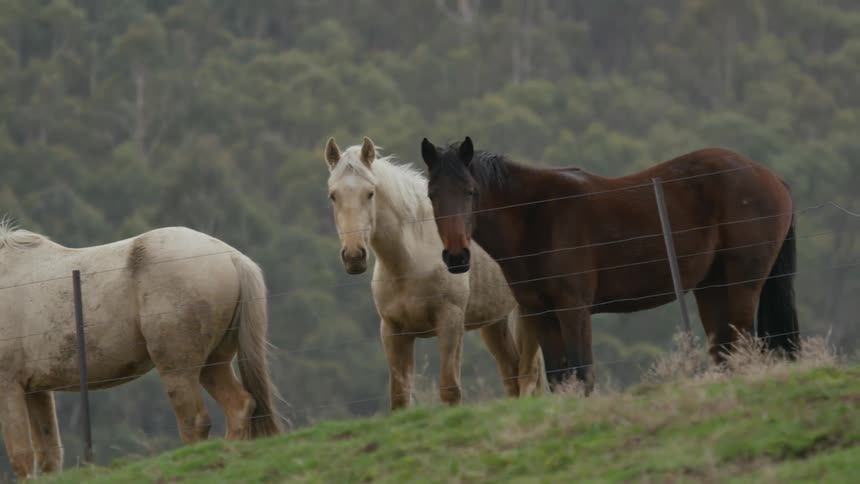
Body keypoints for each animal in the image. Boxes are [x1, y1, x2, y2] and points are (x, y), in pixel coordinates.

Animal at [0, 222, 281, 479]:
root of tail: (232, 256)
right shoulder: (36, 391)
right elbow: (49, 455)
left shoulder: (9, 388)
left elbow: (21, 457)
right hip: (213, 366)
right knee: (239, 406)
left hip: (178, 370)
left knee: (195, 422)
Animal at [323, 137, 547, 410]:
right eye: (333, 196)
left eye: (370, 193)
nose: (354, 255)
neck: (412, 258)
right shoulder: (393, 331)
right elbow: (399, 397)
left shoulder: (450, 323)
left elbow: (450, 390)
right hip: (495, 322)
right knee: (512, 374)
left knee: (528, 374)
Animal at [420, 136, 800, 394]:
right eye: (431, 194)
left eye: (471, 191)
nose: (457, 257)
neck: (537, 217)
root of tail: (772, 178)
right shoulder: (541, 313)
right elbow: (560, 378)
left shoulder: (573, 309)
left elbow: (583, 373)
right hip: (711, 289)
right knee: (724, 352)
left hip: (742, 287)